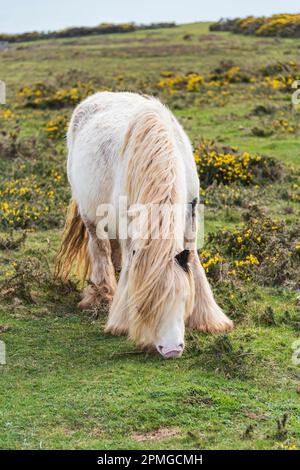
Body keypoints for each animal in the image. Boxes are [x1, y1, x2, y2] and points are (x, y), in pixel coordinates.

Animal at [55, 92, 232, 358]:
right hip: (90, 214)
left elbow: (195, 266)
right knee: (100, 248)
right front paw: (121, 322)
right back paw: (103, 294)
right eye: (145, 307)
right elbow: (131, 266)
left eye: (183, 299)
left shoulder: (190, 219)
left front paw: (208, 319)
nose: (172, 350)